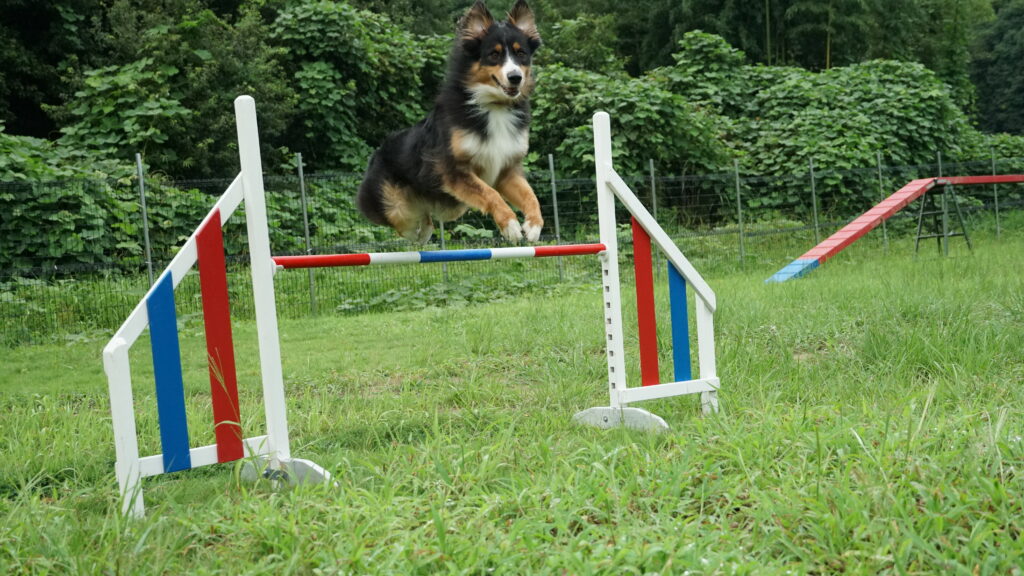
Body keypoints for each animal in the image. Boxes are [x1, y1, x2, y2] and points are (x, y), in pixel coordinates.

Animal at [356, 0, 544, 241]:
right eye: (494, 55)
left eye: (521, 54)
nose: (515, 77)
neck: (494, 105)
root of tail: (377, 152)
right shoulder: (453, 170)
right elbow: (490, 193)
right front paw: (510, 225)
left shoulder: (506, 169)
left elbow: (531, 195)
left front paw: (534, 225)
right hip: (398, 207)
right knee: (405, 223)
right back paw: (418, 233)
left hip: (453, 207)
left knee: (426, 216)